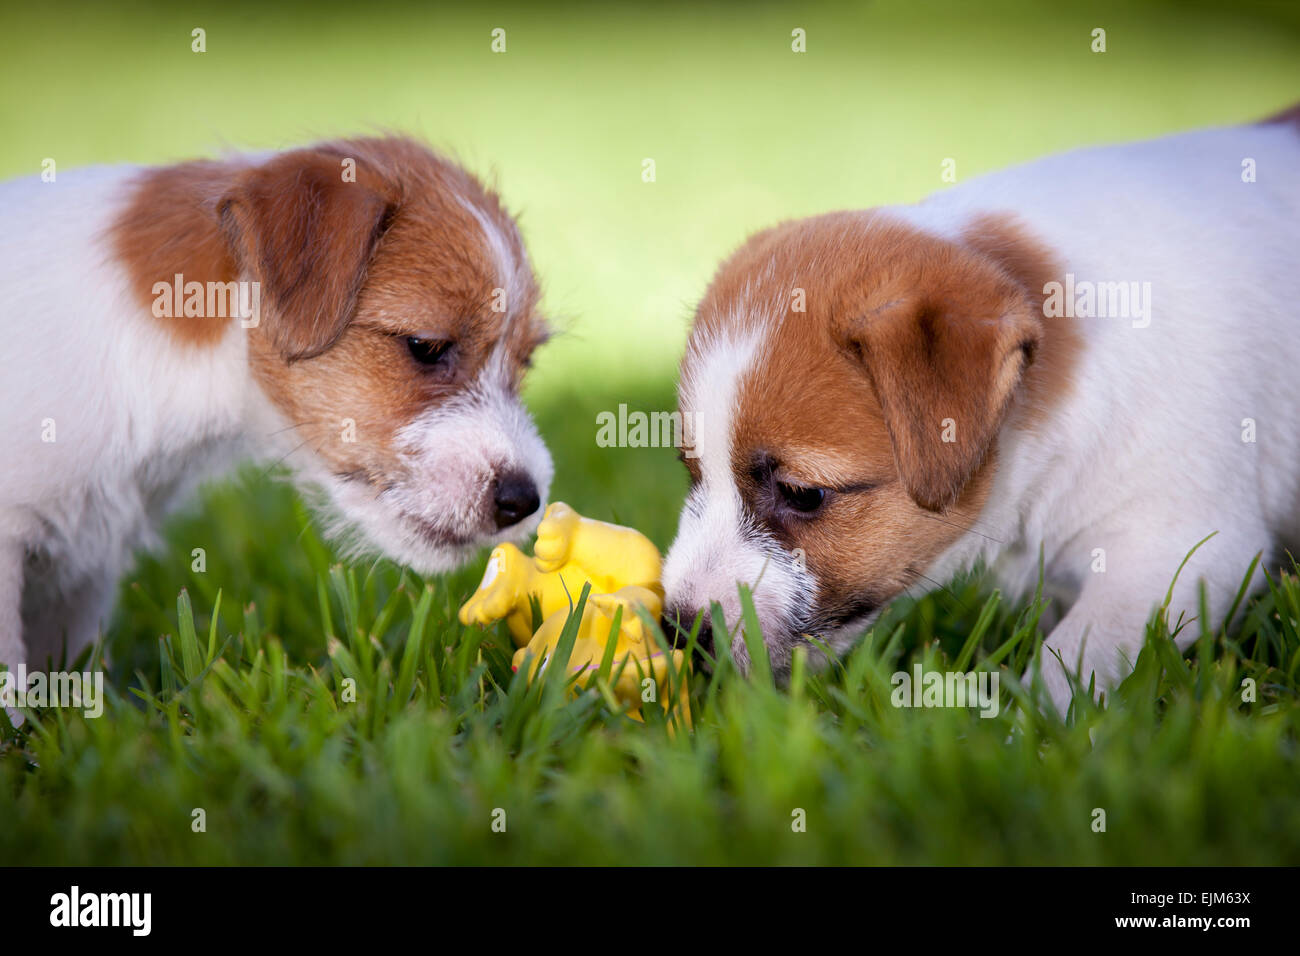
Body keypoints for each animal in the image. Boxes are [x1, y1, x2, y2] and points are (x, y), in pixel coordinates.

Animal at [660, 108, 1300, 712]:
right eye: (693, 472)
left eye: (803, 494)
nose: (679, 631)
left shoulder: (1182, 546)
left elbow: (1078, 653)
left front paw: (1035, 728)